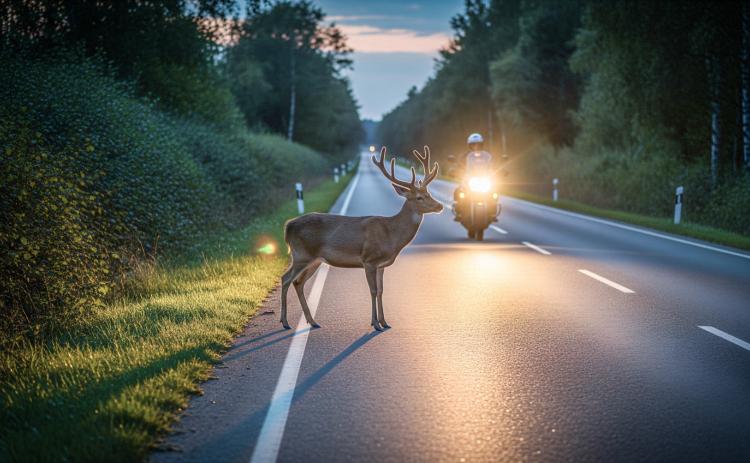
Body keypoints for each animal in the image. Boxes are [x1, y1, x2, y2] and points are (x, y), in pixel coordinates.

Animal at [280, 146, 443, 331]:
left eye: (429, 193)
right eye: (419, 197)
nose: (440, 206)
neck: (391, 235)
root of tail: (288, 226)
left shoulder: (381, 265)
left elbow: (381, 291)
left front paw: (385, 322)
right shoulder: (369, 260)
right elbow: (373, 290)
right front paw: (375, 324)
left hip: (315, 259)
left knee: (298, 282)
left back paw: (312, 321)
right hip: (301, 254)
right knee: (285, 279)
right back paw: (285, 322)